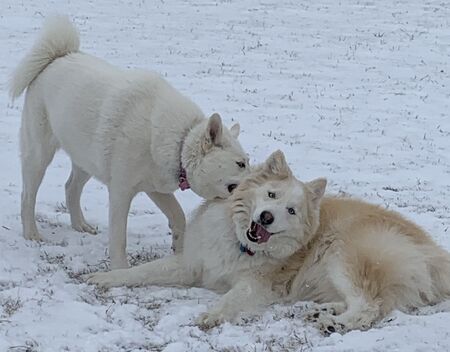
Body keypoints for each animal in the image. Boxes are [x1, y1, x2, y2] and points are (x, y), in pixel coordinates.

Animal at [9, 16, 250, 268]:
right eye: (241, 164)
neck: (180, 141)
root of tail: (57, 58)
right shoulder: (120, 192)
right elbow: (119, 238)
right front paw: (119, 268)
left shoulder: (155, 188)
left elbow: (178, 216)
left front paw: (178, 248)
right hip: (39, 156)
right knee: (27, 196)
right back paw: (31, 234)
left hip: (87, 160)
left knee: (70, 188)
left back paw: (80, 225)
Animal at [85, 151, 450, 332]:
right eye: (271, 195)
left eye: (291, 210)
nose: (266, 218)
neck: (240, 243)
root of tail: (434, 253)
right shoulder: (192, 264)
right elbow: (142, 272)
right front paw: (106, 277)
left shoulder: (258, 283)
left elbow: (233, 297)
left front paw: (213, 314)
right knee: (374, 302)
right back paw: (324, 310)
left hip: (342, 253)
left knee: (369, 306)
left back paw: (334, 323)